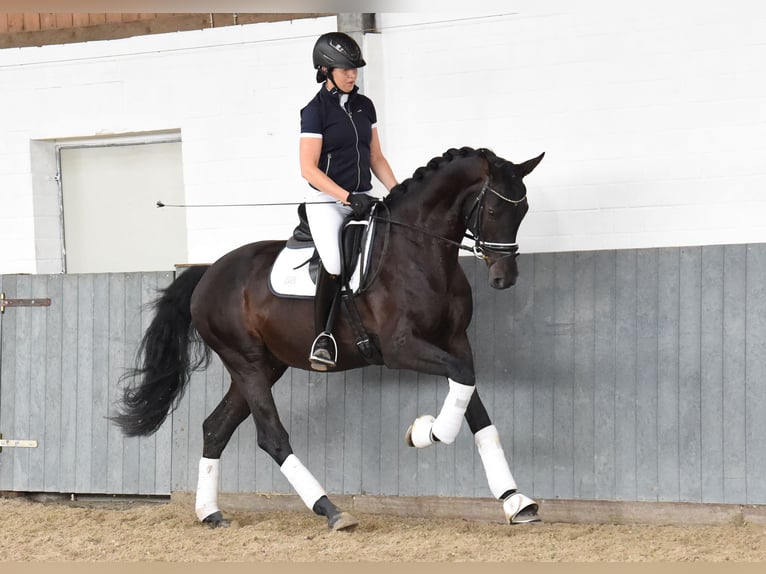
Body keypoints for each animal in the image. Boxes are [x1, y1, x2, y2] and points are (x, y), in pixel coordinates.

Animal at [112, 146, 544, 532]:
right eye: (494, 210)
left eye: (523, 211)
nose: (505, 278)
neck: (419, 251)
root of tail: (208, 273)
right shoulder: (401, 347)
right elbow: (462, 386)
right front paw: (426, 432)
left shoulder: (454, 342)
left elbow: (472, 398)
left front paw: (516, 501)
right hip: (246, 362)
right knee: (271, 436)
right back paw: (331, 510)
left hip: (264, 366)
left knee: (215, 428)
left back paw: (211, 514)